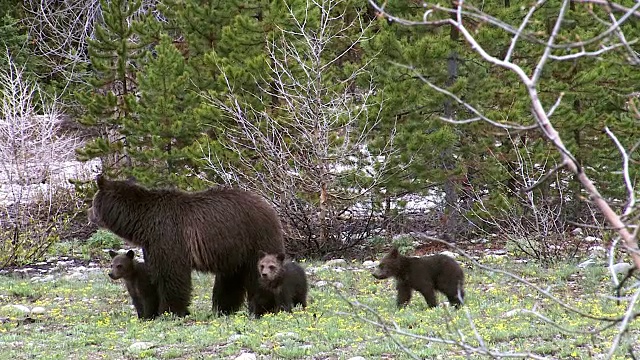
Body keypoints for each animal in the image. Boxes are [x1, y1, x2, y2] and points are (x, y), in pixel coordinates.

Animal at [88, 176, 284, 316]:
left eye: (92, 201)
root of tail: (269, 206)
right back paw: (223, 309)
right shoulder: (152, 244)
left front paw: (171, 310)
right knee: (230, 279)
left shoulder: (168, 236)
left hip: (255, 238)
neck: (143, 223)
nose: (89, 214)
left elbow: (172, 274)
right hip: (233, 250)